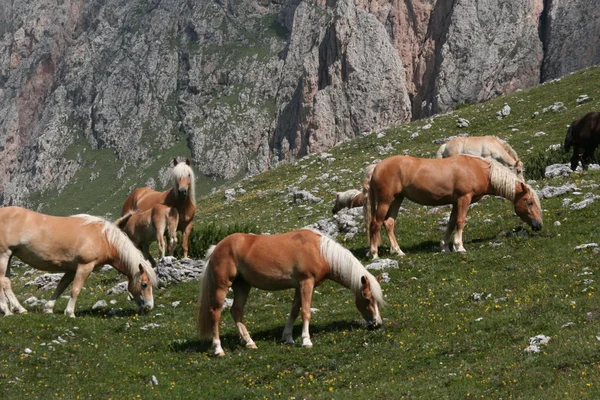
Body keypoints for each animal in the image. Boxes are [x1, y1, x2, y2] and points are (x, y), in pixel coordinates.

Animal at [0, 208, 157, 318]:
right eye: (144, 284)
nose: (149, 307)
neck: (103, 238)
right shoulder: (85, 266)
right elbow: (75, 289)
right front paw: (70, 312)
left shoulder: (72, 269)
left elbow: (61, 286)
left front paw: (48, 308)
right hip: (4, 255)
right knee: (3, 281)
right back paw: (12, 310)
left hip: (9, 256)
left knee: (5, 281)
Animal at [197, 230, 384, 358]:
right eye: (367, 298)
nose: (377, 324)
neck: (319, 251)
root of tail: (216, 248)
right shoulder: (306, 283)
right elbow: (306, 312)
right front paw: (306, 341)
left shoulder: (298, 287)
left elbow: (294, 311)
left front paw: (288, 338)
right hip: (222, 287)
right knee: (215, 313)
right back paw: (218, 349)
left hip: (242, 286)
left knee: (236, 311)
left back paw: (249, 342)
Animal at [366, 155, 544, 258]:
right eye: (529, 202)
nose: (539, 225)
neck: (479, 170)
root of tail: (376, 167)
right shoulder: (464, 199)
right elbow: (460, 222)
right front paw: (459, 247)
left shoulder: (455, 202)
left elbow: (451, 223)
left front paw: (444, 247)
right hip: (385, 200)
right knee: (375, 224)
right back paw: (374, 254)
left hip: (397, 199)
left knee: (389, 223)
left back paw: (398, 251)